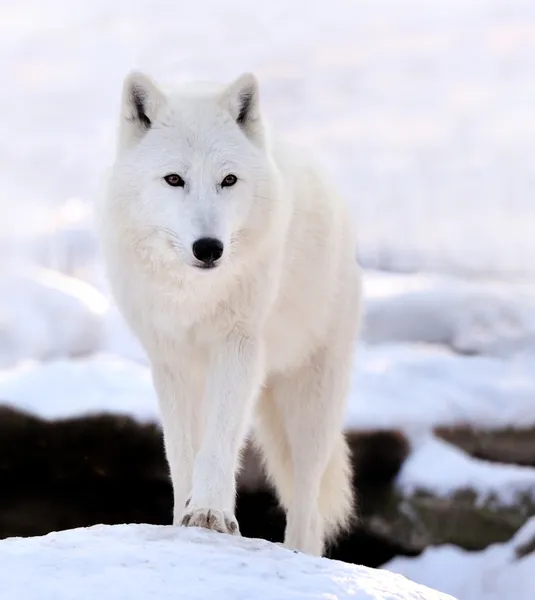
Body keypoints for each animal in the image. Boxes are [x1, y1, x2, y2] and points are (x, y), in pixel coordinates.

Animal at [96, 69, 364, 552]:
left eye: (228, 180)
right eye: (174, 180)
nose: (209, 248)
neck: (193, 296)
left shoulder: (237, 348)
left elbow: (220, 440)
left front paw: (210, 514)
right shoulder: (171, 363)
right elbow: (182, 451)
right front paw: (184, 518)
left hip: (310, 410)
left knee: (307, 508)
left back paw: (297, 552)